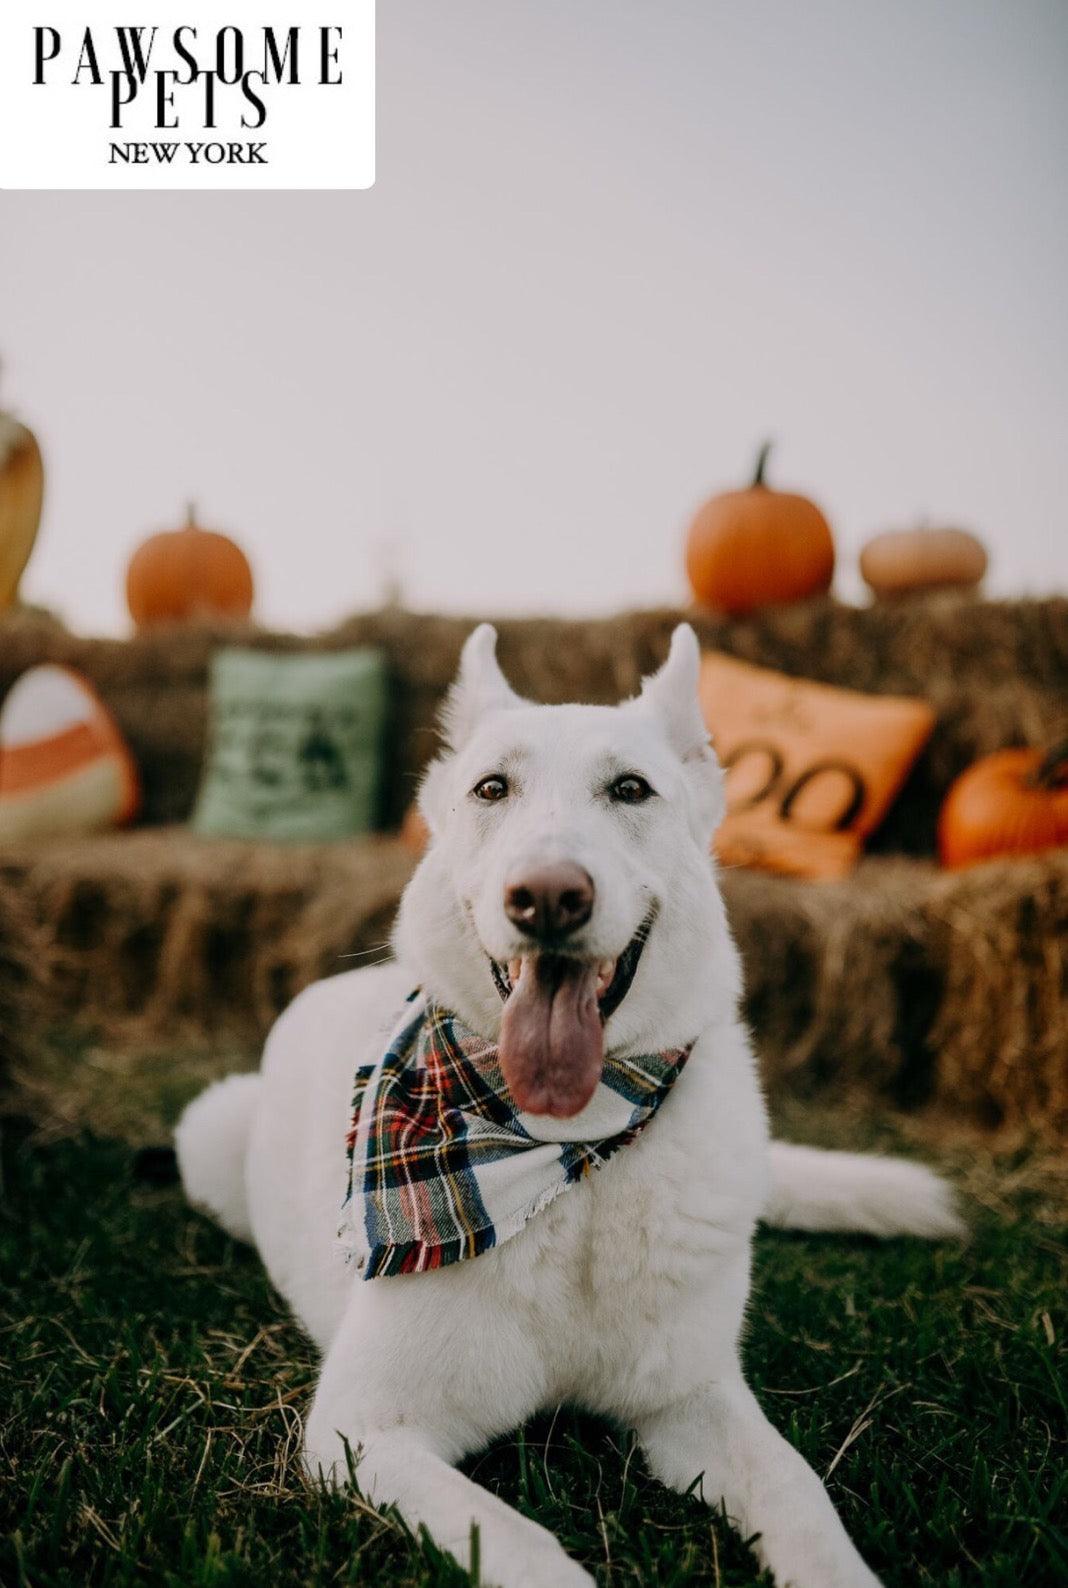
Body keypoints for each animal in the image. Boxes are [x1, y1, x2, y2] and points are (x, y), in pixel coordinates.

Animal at [174, 628, 958, 1588]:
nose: (547, 896)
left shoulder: (694, 1400)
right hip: (209, 1136)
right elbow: (525, 1545)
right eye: (491, 789)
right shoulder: (366, 1434)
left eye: (630, 789)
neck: (564, 1154)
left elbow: (803, 1500)